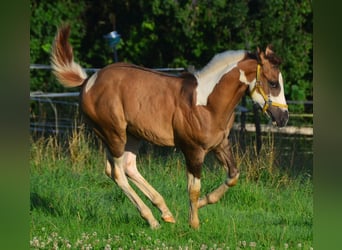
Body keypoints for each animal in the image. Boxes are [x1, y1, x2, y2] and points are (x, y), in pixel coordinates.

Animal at [50, 24, 288, 229]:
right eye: (273, 83)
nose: (283, 118)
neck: (206, 103)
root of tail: (88, 81)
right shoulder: (193, 151)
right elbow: (193, 188)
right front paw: (194, 224)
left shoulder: (219, 145)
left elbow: (233, 176)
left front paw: (203, 203)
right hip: (114, 133)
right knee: (116, 172)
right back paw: (152, 220)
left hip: (133, 136)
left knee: (128, 166)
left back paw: (165, 212)